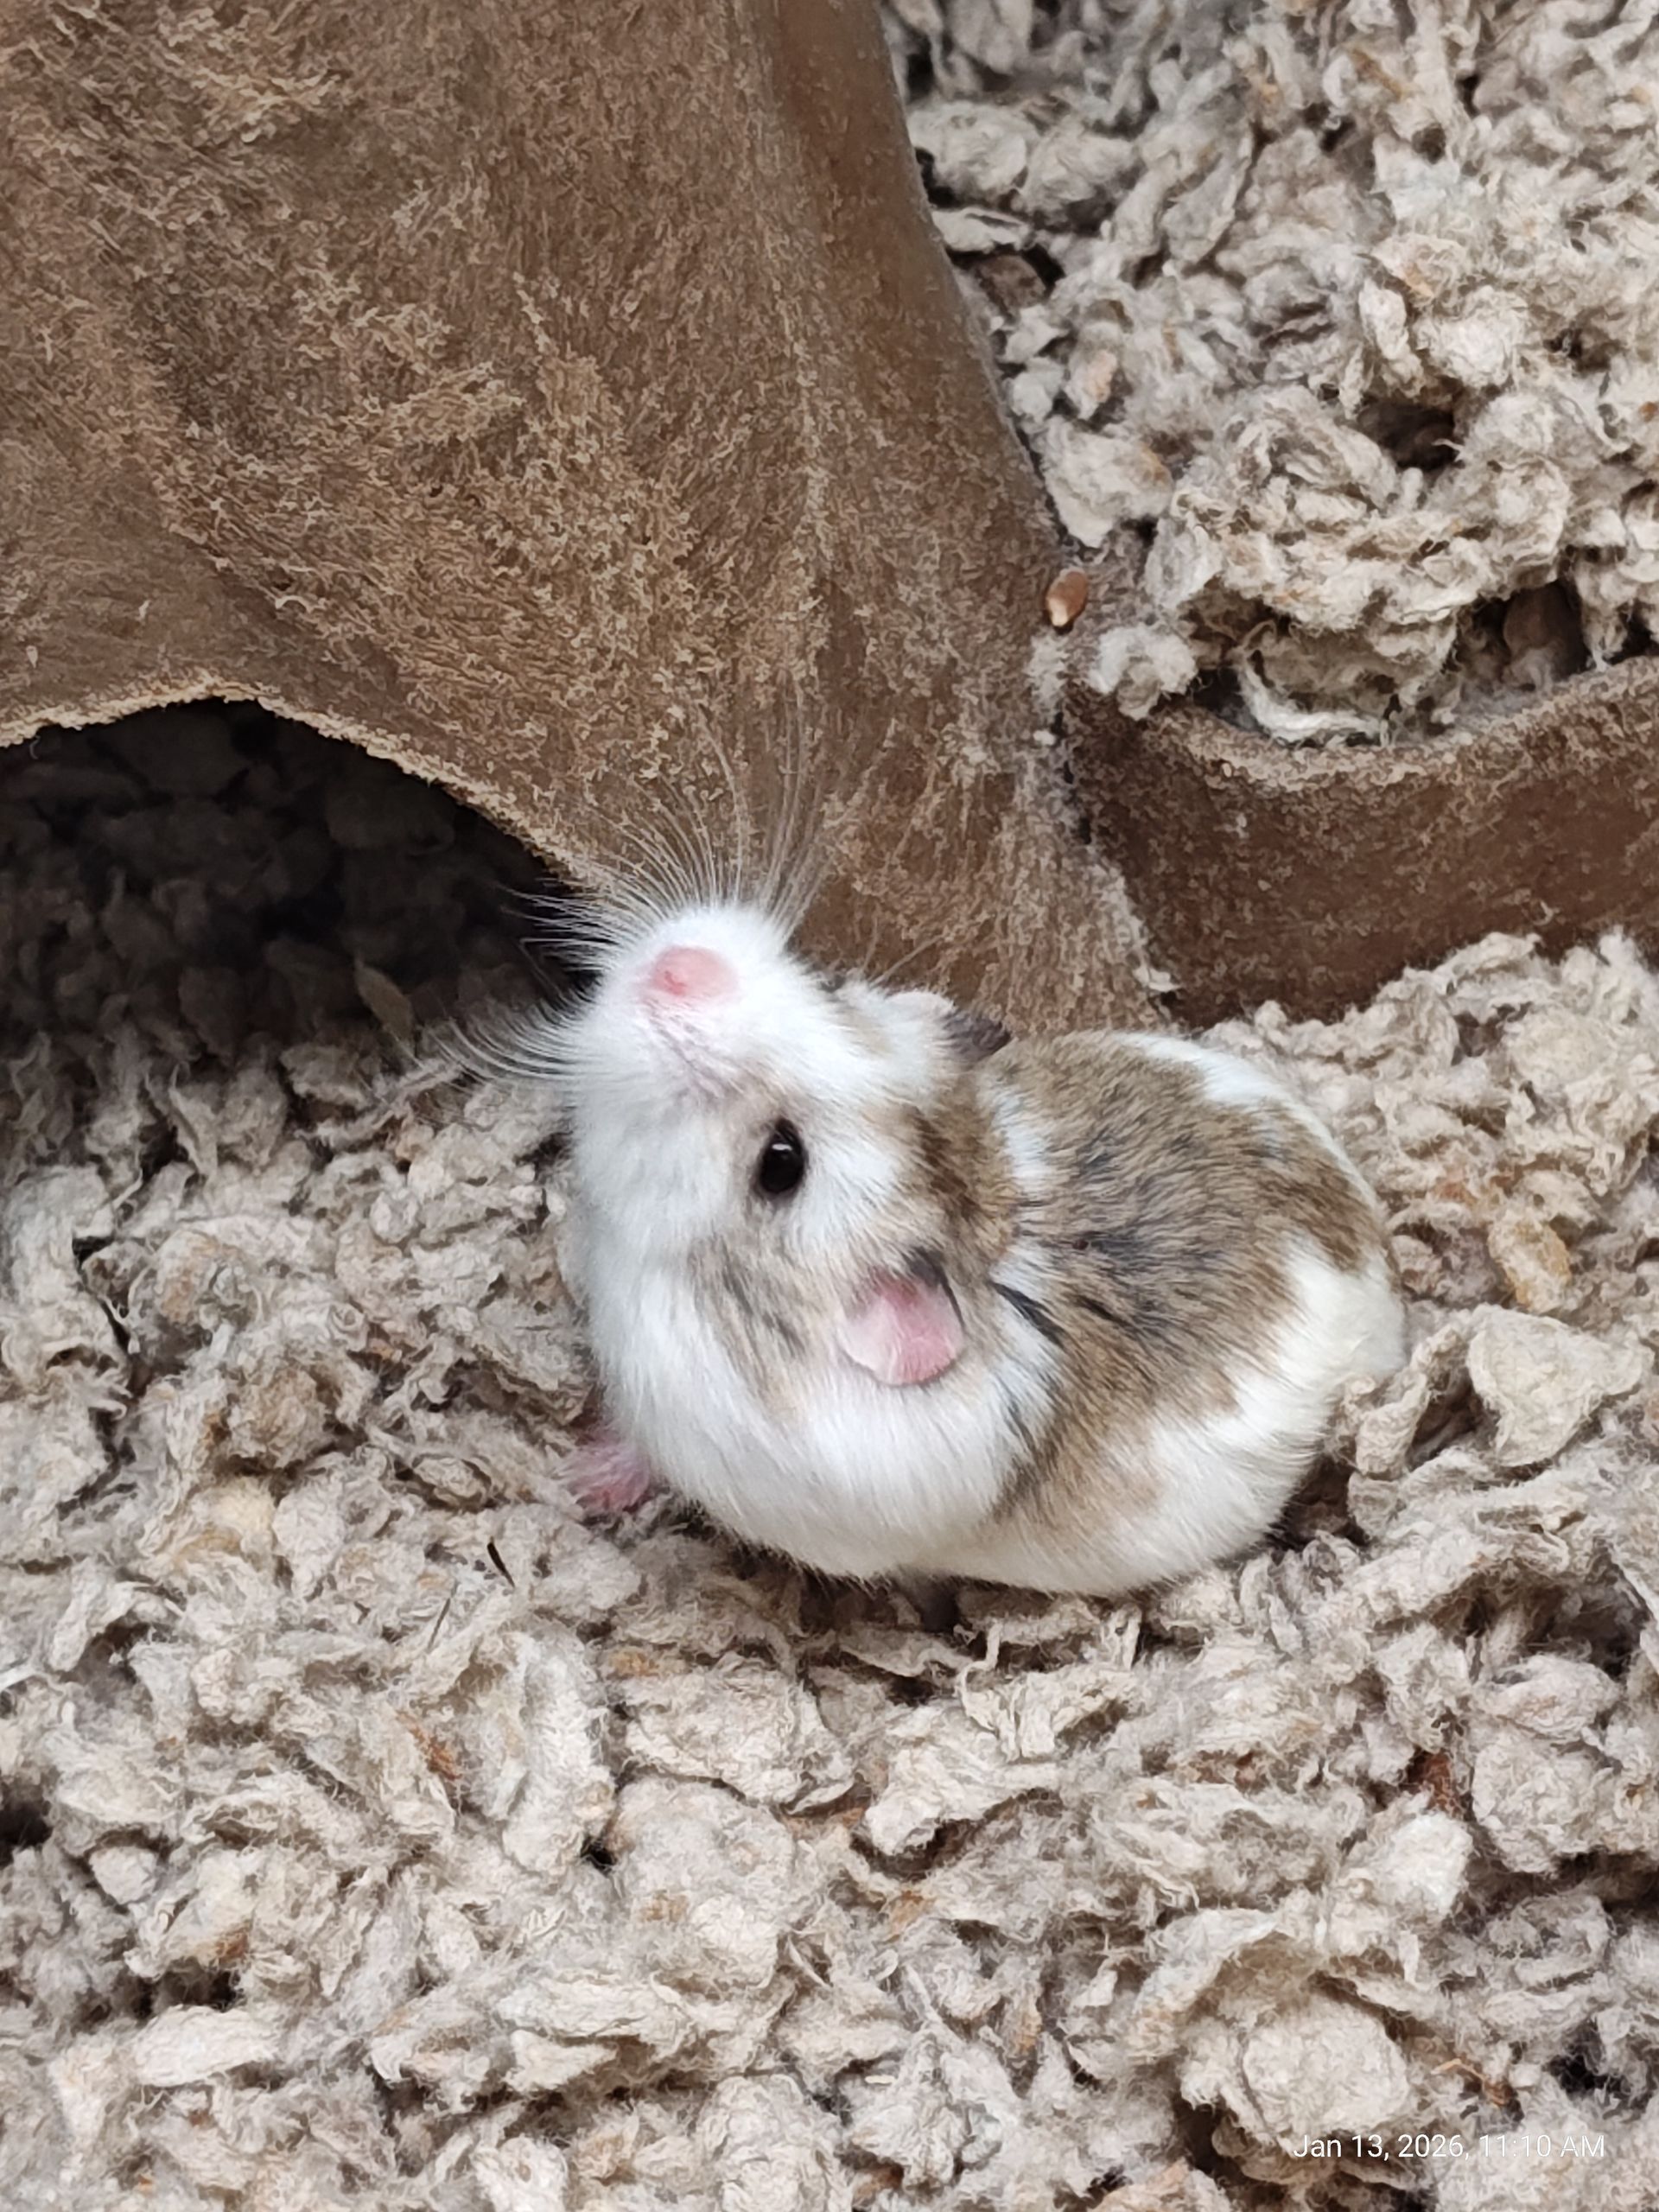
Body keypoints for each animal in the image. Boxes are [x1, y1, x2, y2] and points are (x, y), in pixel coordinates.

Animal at [497, 897, 1406, 1598]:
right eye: (828, 983)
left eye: (781, 1164)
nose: (679, 969)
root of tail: (1382, 1263)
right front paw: (573, 1473)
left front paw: (581, 1484)